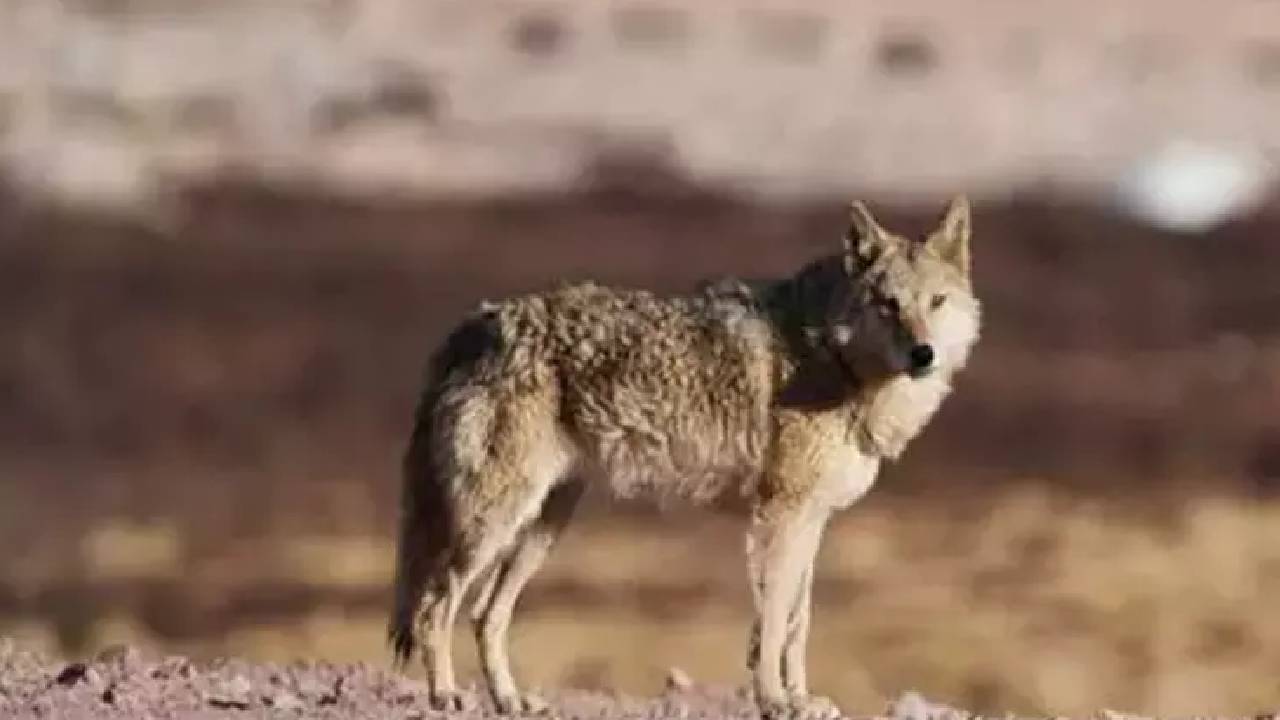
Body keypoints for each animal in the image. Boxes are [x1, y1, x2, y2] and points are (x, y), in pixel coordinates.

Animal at [388, 197, 981, 719]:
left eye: (936, 302)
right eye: (888, 304)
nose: (923, 355)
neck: (837, 361)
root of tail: (478, 322)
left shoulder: (812, 520)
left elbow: (798, 623)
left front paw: (801, 699)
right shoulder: (779, 517)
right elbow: (771, 624)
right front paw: (775, 702)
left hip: (542, 526)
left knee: (485, 614)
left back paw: (511, 701)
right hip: (493, 523)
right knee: (434, 604)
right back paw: (447, 696)